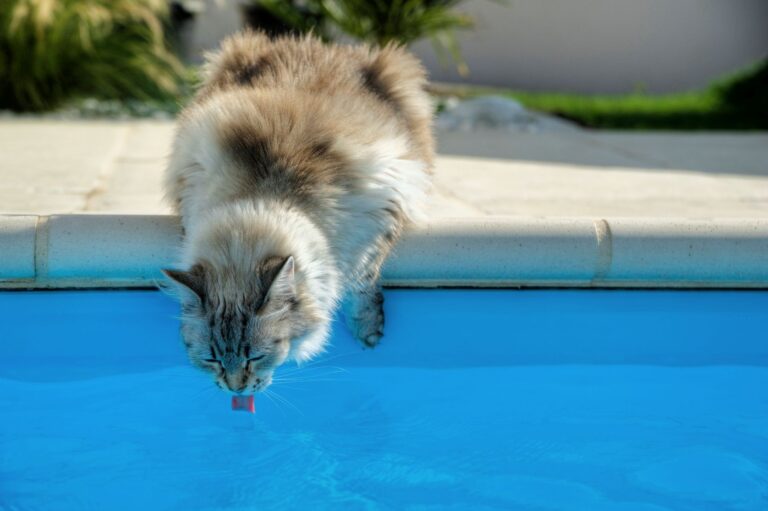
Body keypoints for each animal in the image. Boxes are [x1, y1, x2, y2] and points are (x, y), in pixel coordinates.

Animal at [161, 30, 432, 394]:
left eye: (256, 357)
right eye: (212, 359)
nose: (235, 388)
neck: (264, 194)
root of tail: (318, 43)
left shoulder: (384, 204)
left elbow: (362, 279)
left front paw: (367, 331)